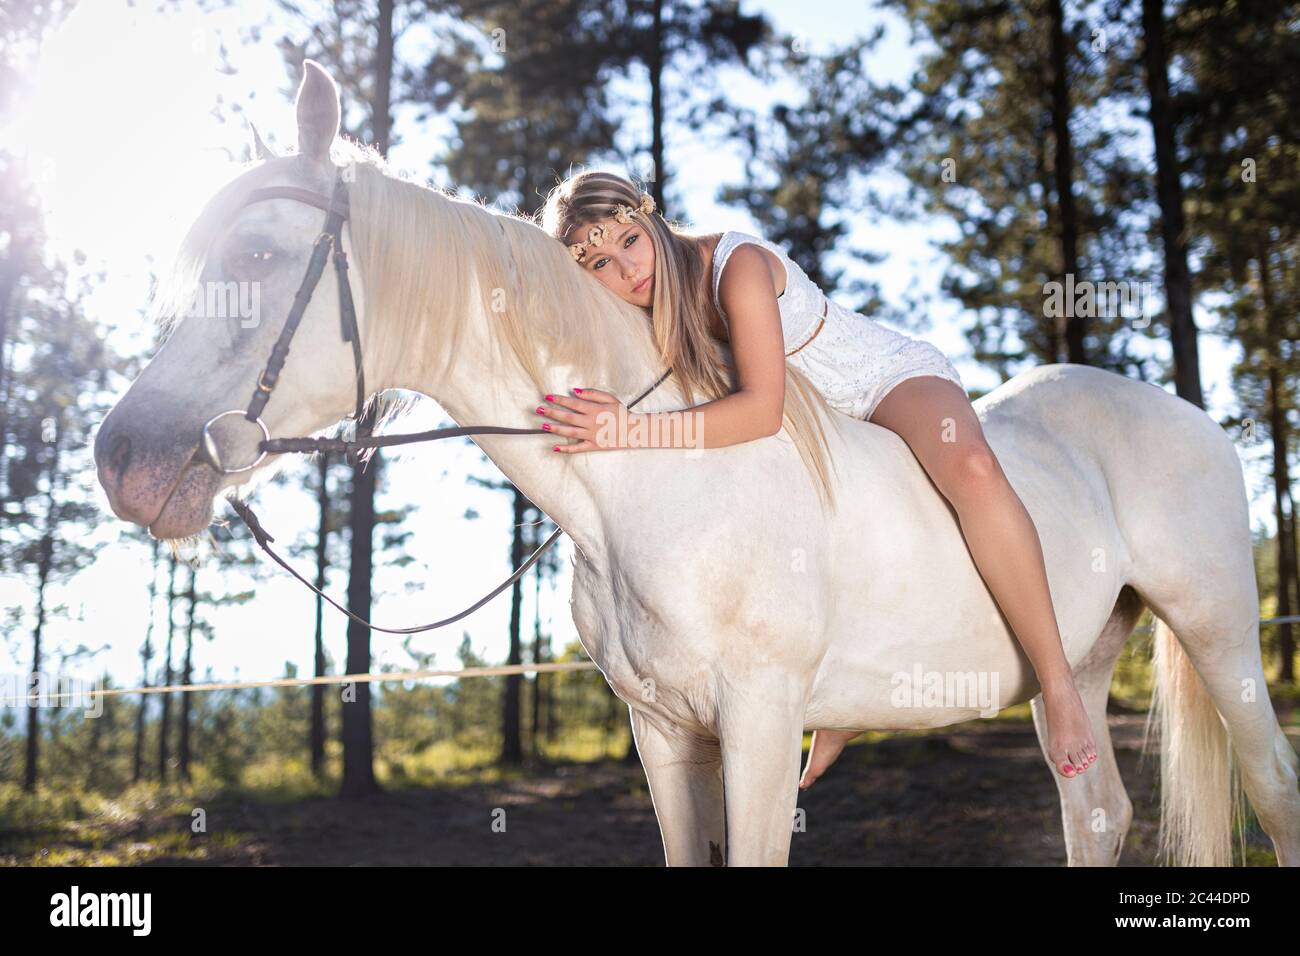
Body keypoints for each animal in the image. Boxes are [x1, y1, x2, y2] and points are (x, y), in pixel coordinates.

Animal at [98, 59, 1300, 868]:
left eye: (258, 254)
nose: (124, 459)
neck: (651, 490)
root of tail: (1190, 416)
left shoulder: (761, 726)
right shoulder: (667, 734)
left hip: (1220, 637)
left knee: (1274, 793)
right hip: (1084, 668)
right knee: (1095, 809)